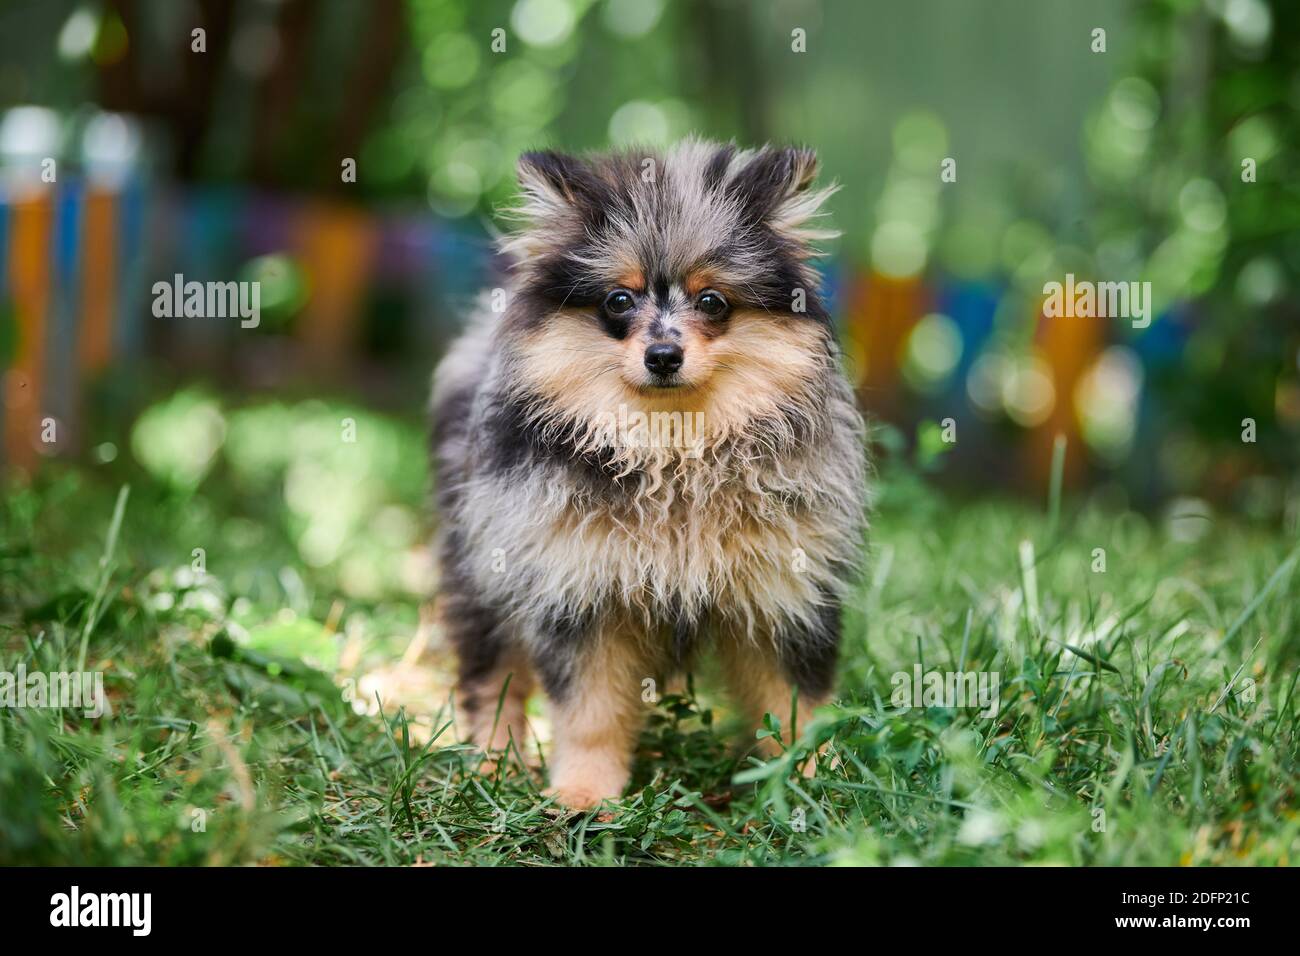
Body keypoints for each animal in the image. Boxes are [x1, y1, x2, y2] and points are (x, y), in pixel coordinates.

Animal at [431, 138, 868, 811]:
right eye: (619, 299)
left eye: (712, 301)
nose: (664, 355)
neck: (673, 450)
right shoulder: (578, 591)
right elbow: (590, 711)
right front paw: (584, 792)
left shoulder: (785, 591)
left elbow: (794, 701)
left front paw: (813, 779)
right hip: (482, 565)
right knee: (491, 670)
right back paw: (494, 764)